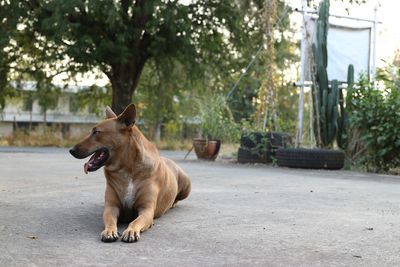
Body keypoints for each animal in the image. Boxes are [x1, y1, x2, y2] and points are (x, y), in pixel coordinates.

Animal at [69, 103, 191, 244]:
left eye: (96, 132)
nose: (71, 150)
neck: (127, 169)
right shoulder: (111, 207)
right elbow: (110, 219)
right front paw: (109, 231)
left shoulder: (146, 210)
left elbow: (136, 221)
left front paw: (131, 231)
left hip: (187, 184)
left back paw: (173, 203)